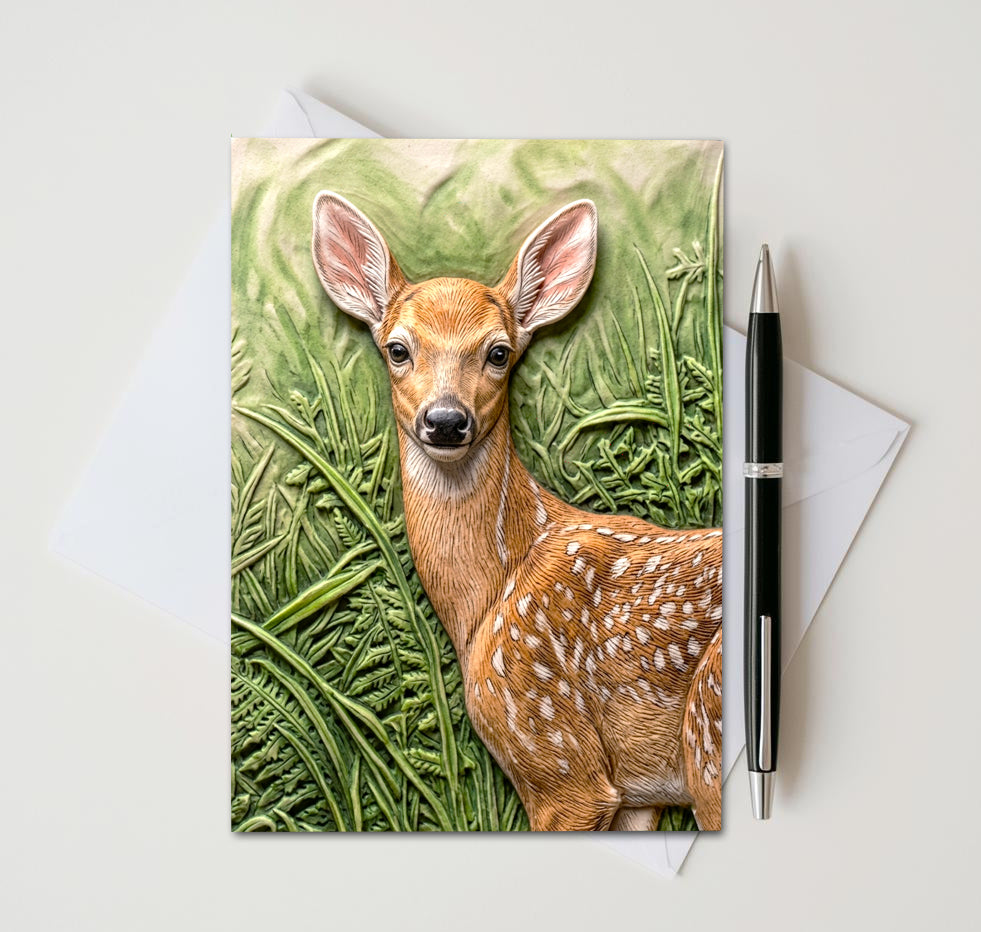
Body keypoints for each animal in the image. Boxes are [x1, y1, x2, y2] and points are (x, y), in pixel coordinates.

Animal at [311, 191, 722, 831]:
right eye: (398, 349)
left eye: (499, 353)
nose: (446, 420)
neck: (488, 596)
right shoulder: (636, 796)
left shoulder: (558, 759)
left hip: (708, 730)